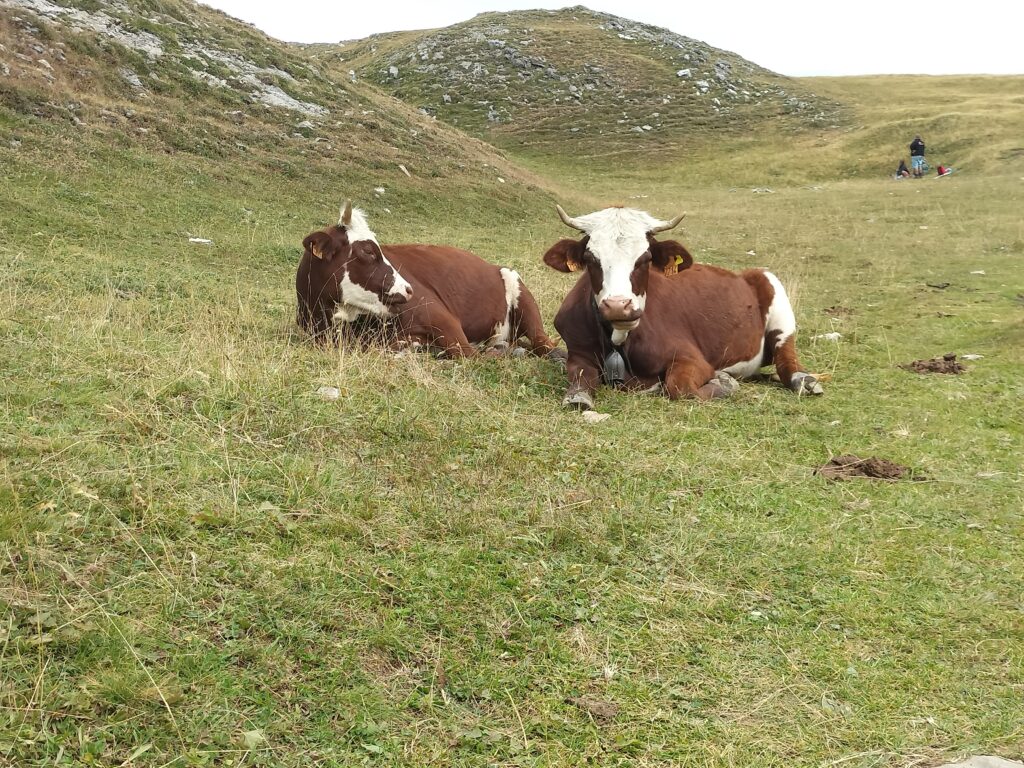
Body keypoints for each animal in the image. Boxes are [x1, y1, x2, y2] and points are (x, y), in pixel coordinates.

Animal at [297, 202, 563, 360]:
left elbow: (469, 354)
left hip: (519, 290)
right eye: (369, 252)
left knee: (542, 342)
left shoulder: (444, 320)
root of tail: (492, 265)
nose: (408, 289)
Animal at [542, 204, 824, 409]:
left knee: (786, 358)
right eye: (591, 258)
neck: (620, 339)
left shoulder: (692, 358)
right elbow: (578, 386)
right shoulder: (578, 352)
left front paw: (725, 383)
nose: (618, 306)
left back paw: (806, 381)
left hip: (775, 294)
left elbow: (680, 387)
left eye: (645, 258)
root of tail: (743, 274)